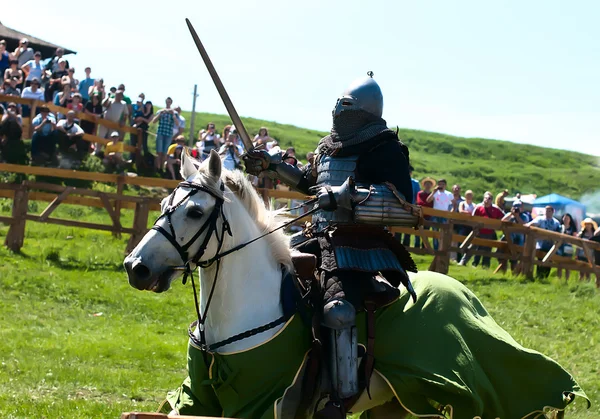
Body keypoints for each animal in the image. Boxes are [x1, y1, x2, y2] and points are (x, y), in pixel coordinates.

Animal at [124, 151, 588, 419]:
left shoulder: (261, 404)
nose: (135, 267)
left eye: (196, 211)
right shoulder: (196, 400)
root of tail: (466, 296)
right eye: (164, 204)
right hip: (400, 405)